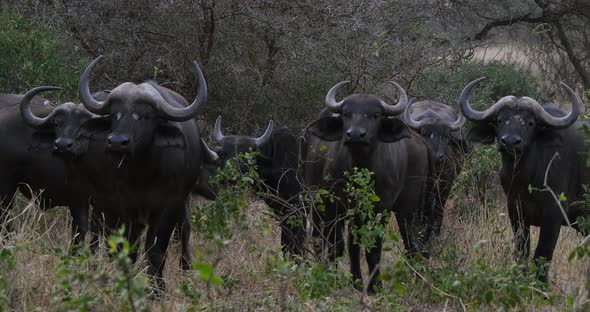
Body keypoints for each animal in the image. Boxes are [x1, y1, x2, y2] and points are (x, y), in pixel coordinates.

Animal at [76, 55, 209, 290]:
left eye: (145, 115)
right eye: (115, 114)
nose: (117, 142)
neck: (143, 174)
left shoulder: (168, 207)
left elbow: (156, 251)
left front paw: (157, 290)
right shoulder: (122, 208)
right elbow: (128, 251)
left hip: (183, 204)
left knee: (184, 231)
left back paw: (186, 268)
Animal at [306, 81, 434, 292]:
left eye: (375, 115)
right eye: (346, 114)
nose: (356, 135)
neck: (361, 167)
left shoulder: (380, 208)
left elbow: (373, 248)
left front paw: (375, 286)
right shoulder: (333, 205)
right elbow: (335, 244)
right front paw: (332, 277)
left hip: (407, 208)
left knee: (409, 242)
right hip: (316, 202)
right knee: (320, 238)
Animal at [404, 100, 470, 236]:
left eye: (445, 136)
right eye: (424, 134)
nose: (437, 156)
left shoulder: (446, 183)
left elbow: (439, 208)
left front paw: (435, 231)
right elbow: (425, 208)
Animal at [460, 77, 588, 280]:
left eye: (529, 123)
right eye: (500, 120)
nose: (510, 142)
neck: (526, 179)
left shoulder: (553, 216)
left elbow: (542, 254)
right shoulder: (516, 213)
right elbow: (522, 252)